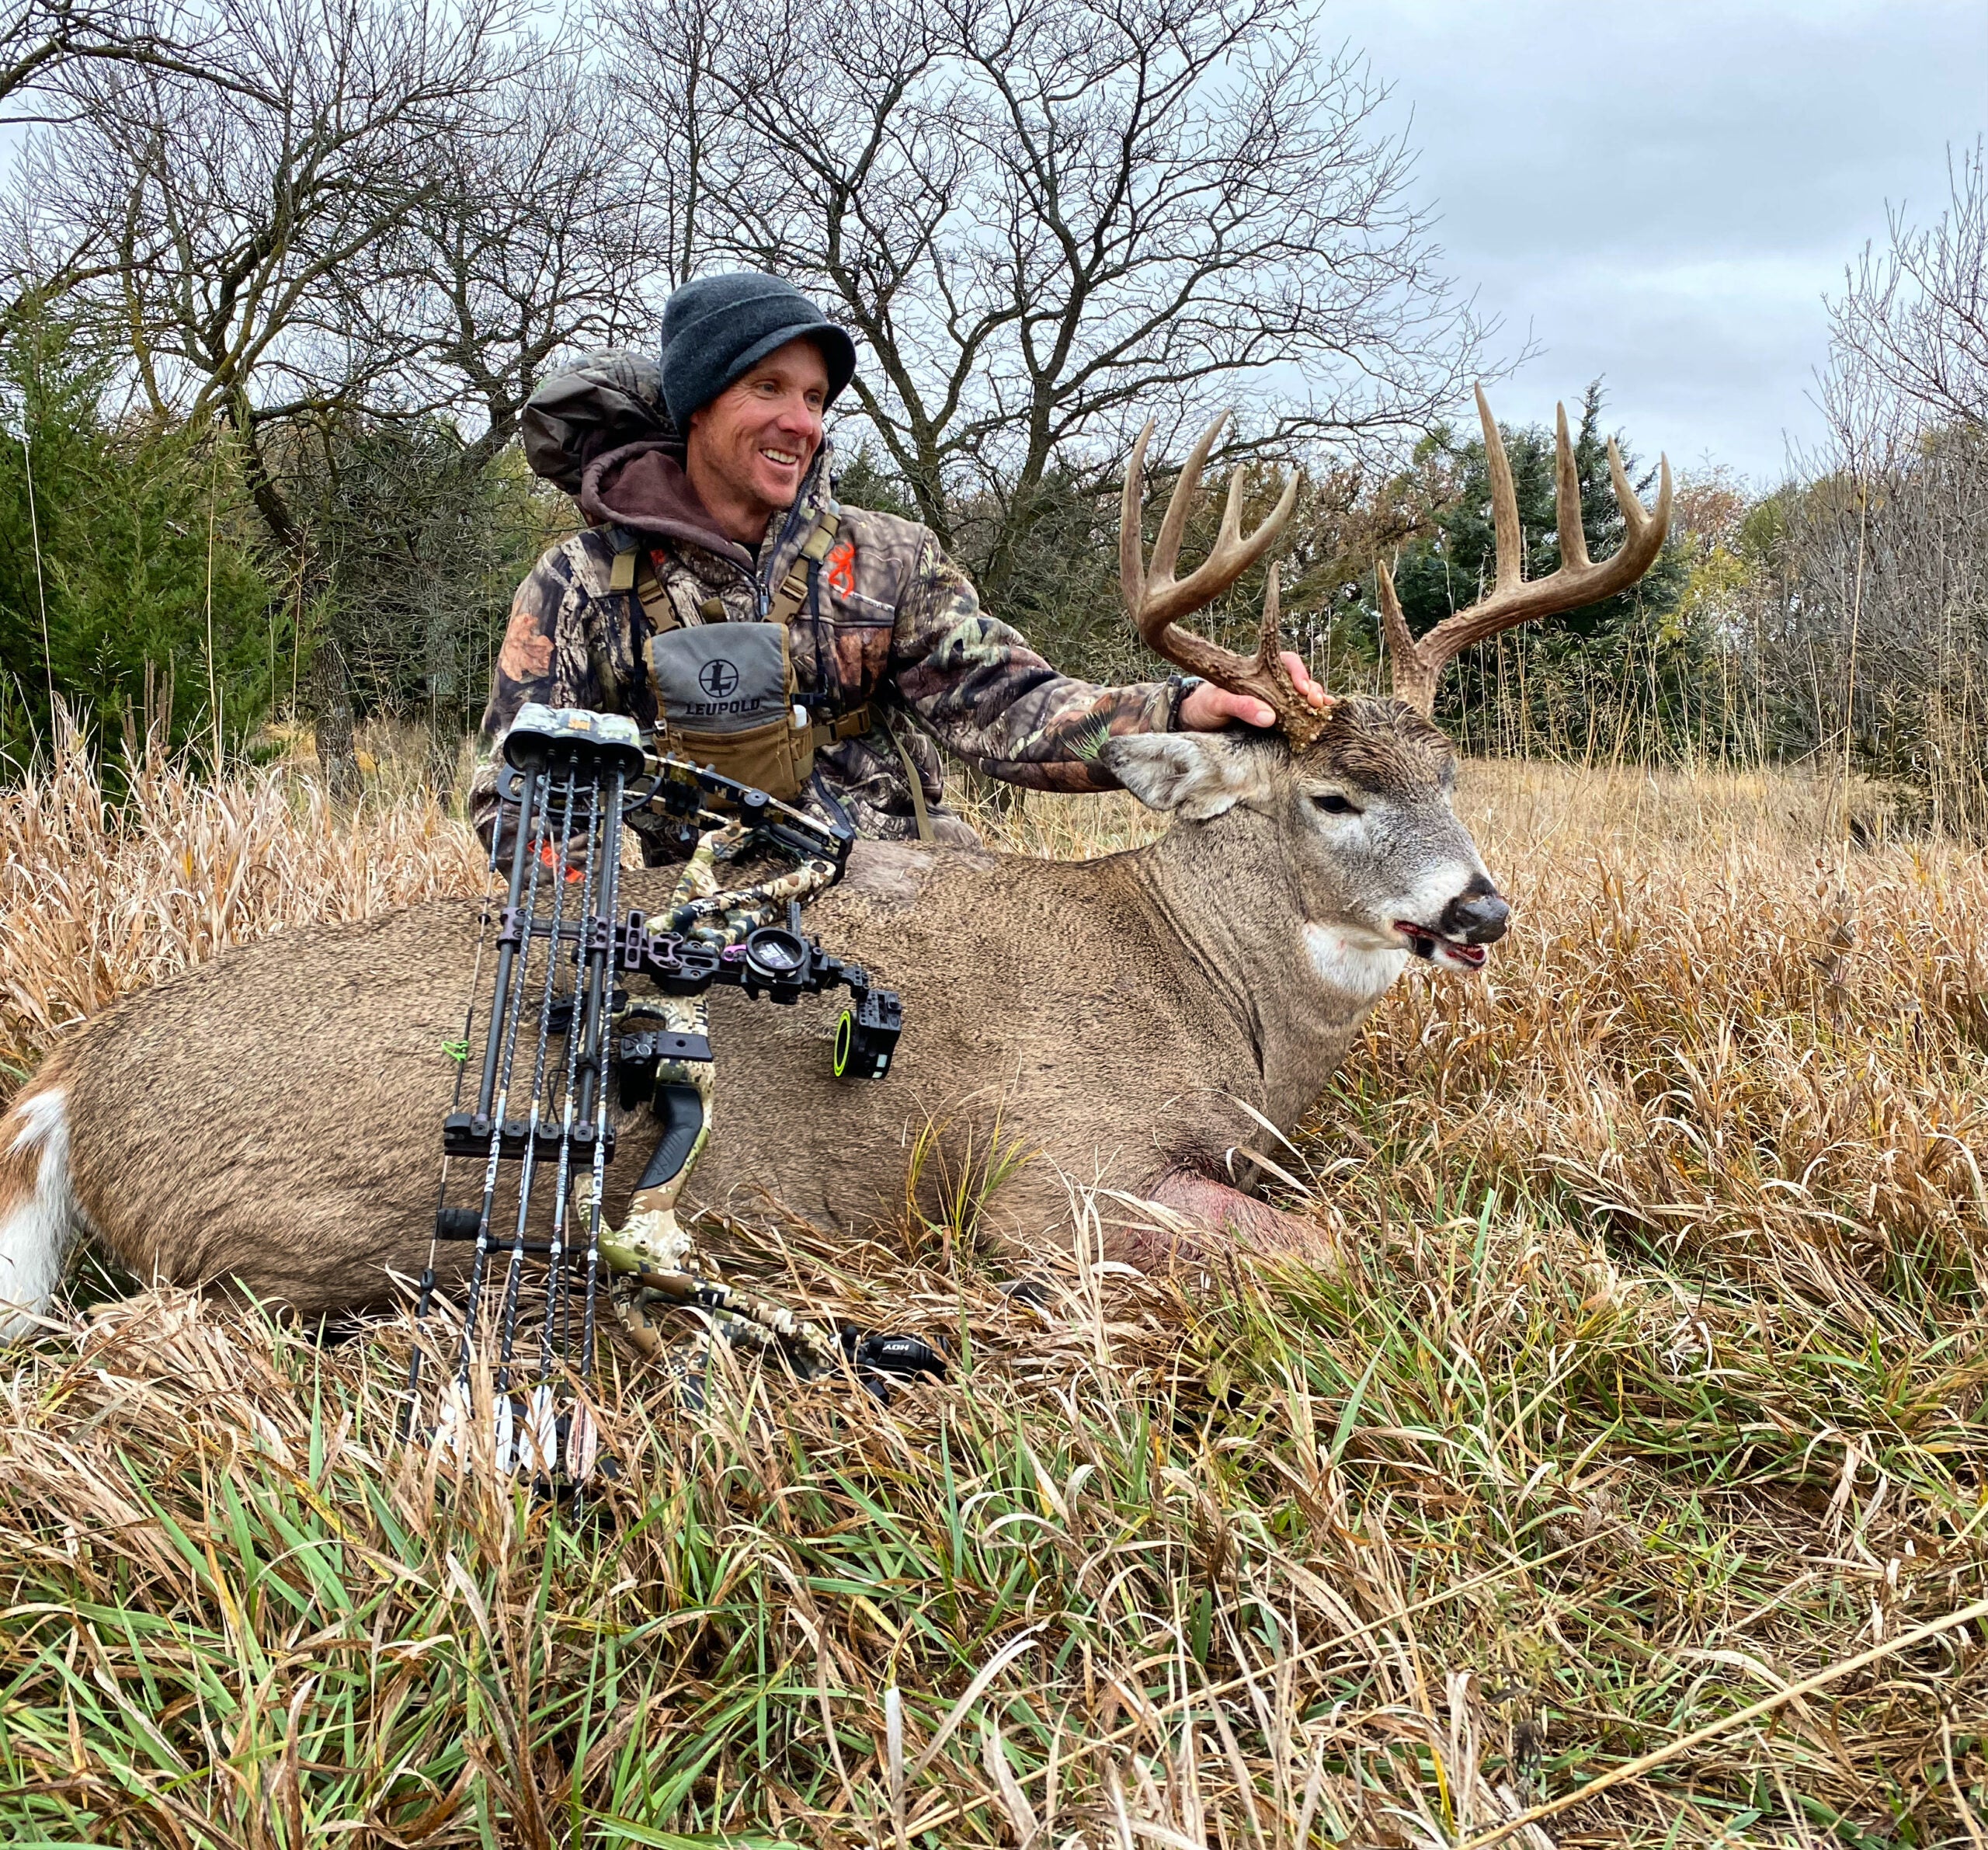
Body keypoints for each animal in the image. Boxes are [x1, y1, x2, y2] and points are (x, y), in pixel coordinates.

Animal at [0, 390, 1670, 1336]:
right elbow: (1329, 1250)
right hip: (311, 1219)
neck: (1213, 999)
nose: (1479, 907)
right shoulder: (1044, 1179)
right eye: (1330, 794)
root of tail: (73, 1078)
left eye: (1450, 778)